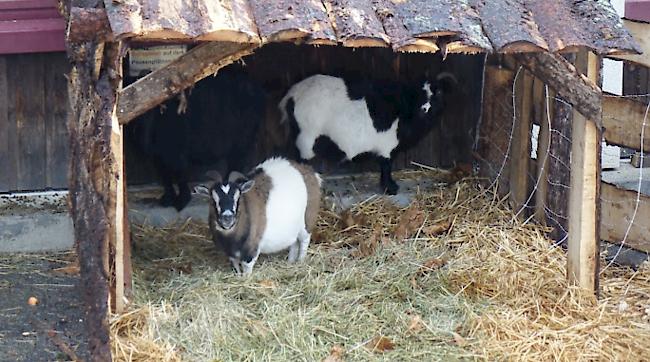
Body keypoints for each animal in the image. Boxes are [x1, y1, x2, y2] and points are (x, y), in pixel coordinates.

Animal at [128, 70, 264, 211]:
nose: (139, 129)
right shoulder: (158, 157)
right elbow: (165, 179)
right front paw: (168, 199)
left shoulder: (177, 154)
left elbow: (180, 177)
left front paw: (182, 200)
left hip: (242, 142)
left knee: (236, 164)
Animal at [276, 72, 454, 194]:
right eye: (417, 94)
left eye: (438, 93)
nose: (425, 109)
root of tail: (291, 95)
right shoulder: (386, 143)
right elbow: (386, 165)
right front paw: (390, 188)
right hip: (306, 136)